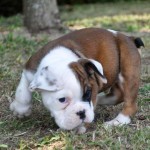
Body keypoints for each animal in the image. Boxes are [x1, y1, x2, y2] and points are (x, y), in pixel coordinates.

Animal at [9, 27, 144, 133]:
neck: (59, 59)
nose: (82, 113)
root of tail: (129, 37)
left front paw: (81, 127)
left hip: (128, 71)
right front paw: (20, 109)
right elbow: (23, 91)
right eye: (62, 100)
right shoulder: (29, 71)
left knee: (129, 103)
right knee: (118, 94)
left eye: (88, 93)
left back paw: (116, 121)